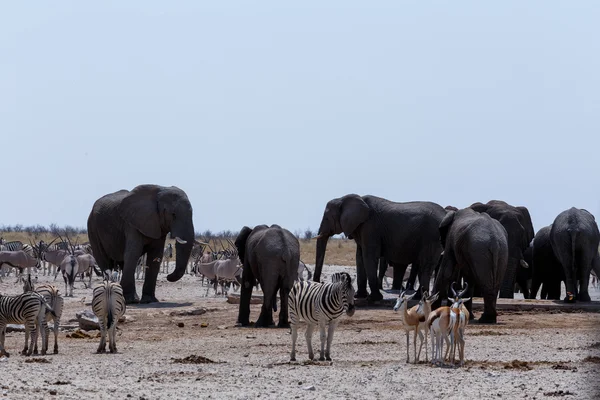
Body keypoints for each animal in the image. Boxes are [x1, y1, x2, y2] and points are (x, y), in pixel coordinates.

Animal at [314, 195, 446, 302]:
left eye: (326, 218)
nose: (320, 283)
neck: (343, 199)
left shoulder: (370, 227)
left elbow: (369, 256)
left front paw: (373, 299)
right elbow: (360, 257)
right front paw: (359, 296)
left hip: (431, 237)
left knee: (425, 266)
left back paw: (419, 298)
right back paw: (418, 297)